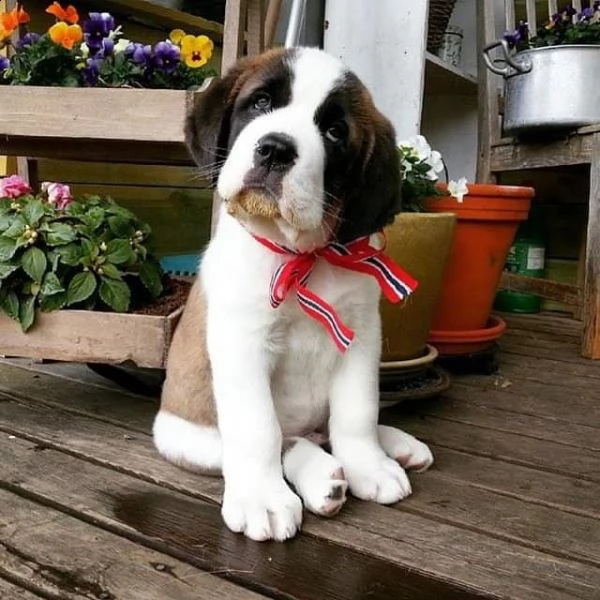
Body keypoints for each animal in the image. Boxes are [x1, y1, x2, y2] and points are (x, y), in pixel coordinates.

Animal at [152, 48, 434, 544]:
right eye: (261, 103)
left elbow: (357, 412)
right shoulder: (243, 344)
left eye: (335, 131)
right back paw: (322, 478)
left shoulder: (361, 337)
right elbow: (260, 429)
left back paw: (393, 447)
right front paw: (263, 499)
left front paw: (369, 463)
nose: (276, 148)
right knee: (286, 440)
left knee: (323, 430)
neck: (303, 257)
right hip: (190, 439)